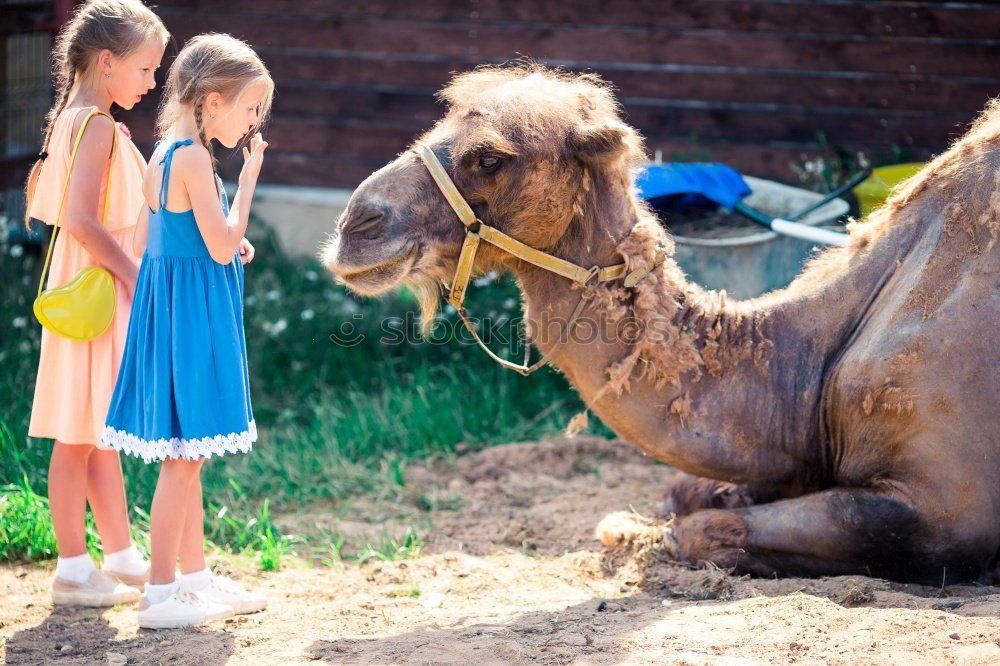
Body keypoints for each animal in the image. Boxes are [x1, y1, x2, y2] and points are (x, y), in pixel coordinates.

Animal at [322, 63, 1000, 580]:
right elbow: (684, 492)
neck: (802, 368)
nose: (357, 224)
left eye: (488, 157)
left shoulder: (939, 510)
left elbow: (701, 528)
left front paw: (637, 534)